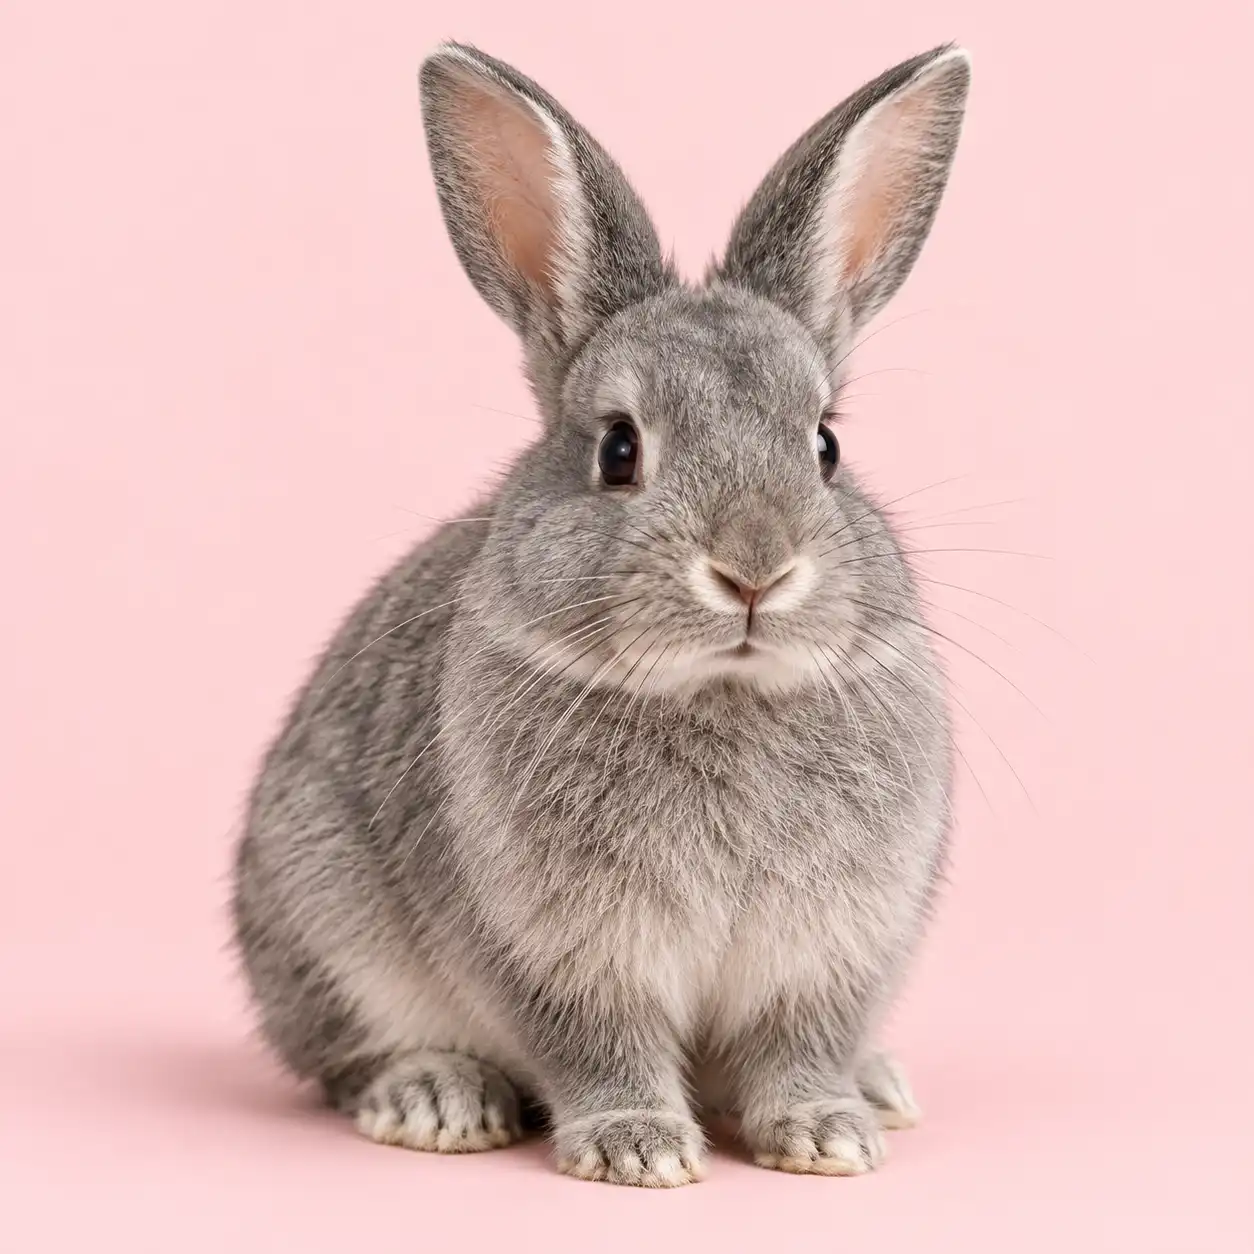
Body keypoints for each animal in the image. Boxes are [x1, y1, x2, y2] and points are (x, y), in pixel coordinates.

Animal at [231, 39, 970, 1188]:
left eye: (826, 445)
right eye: (619, 449)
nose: (754, 570)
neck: (719, 691)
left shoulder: (827, 954)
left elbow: (797, 1048)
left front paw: (827, 1133)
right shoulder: (558, 952)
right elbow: (598, 1046)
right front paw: (638, 1149)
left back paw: (880, 1087)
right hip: (318, 913)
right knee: (345, 1060)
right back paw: (436, 1098)